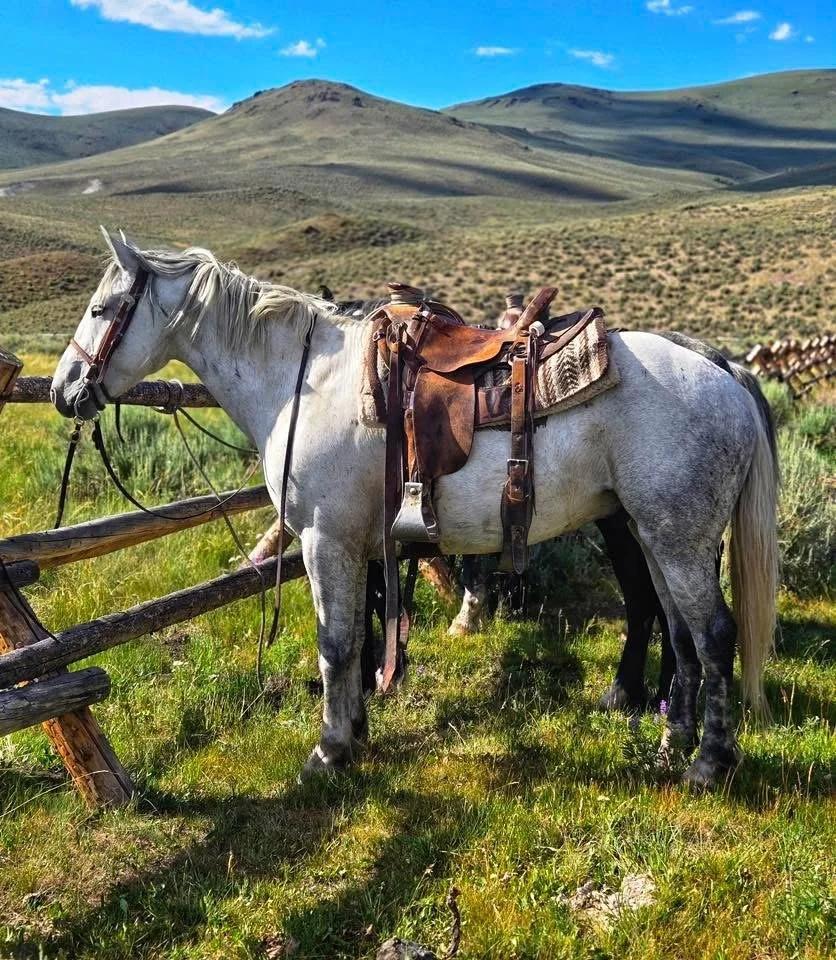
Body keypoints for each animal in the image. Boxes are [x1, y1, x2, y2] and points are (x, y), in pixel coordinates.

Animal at [51, 232, 779, 789]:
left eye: (102, 307)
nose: (64, 389)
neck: (305, 380)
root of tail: (723, 368)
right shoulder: (360, 545)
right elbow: (359, 636)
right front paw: (357, 728)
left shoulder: (324, 539)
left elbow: (334, 642)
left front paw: (329, 750)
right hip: (653, 532)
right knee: (678, 630)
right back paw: (670, 739)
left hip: (678, 537)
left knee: (713, 633)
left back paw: (709, 762)